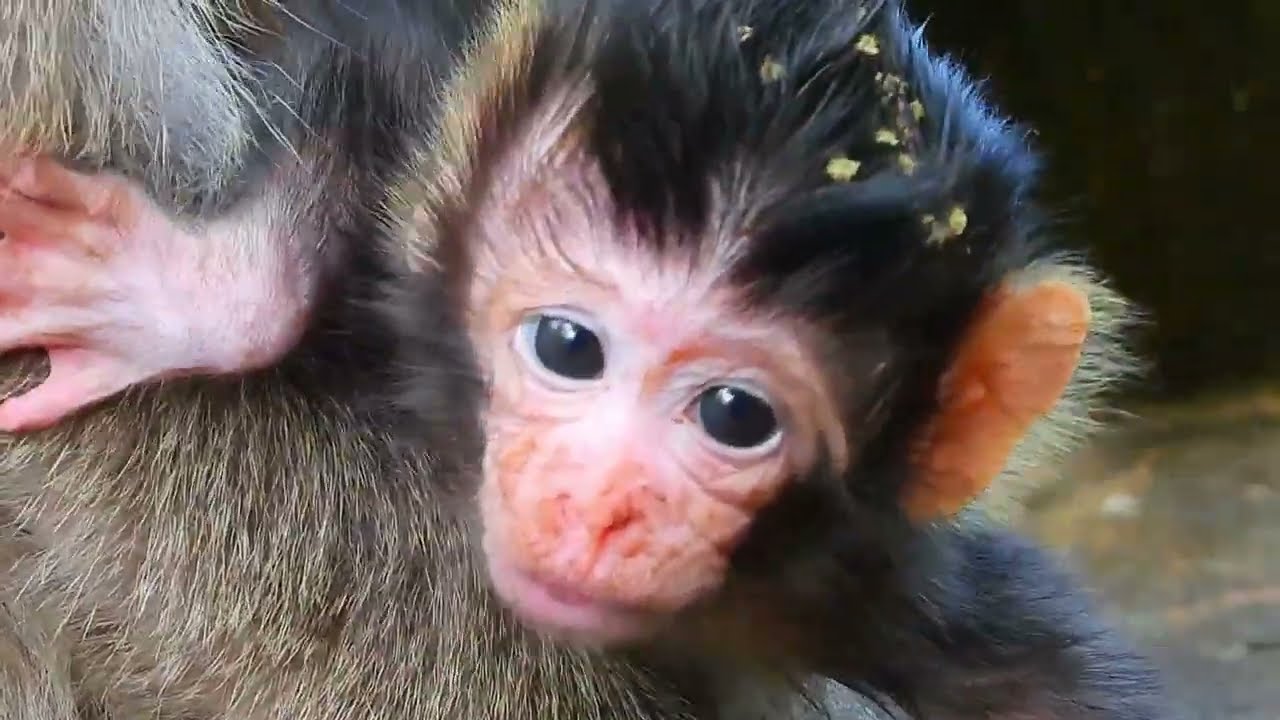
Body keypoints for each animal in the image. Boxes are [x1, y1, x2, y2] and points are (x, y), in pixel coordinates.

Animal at [0, 0, 1169, 718]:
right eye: (568, 347)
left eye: (737, 416)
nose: (596, 508)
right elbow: (379, 74)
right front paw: (204, 293)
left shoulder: (876, 586)